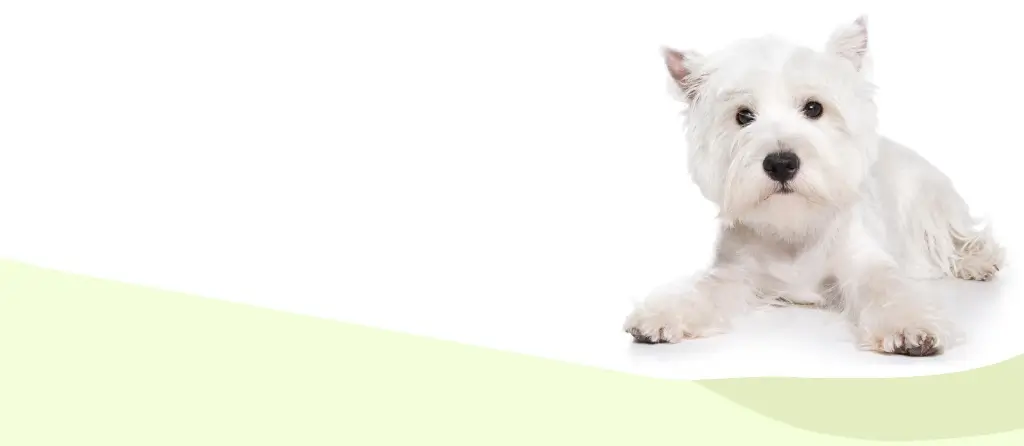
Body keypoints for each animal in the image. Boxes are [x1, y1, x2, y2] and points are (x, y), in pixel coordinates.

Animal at [618, 16, 1003, 355]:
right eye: (743, 116)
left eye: (814, 108)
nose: (781, 163)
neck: (795, 228)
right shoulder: (735, 272)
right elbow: (703, 288)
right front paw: (660, 315)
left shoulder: (863, 262)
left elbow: (887, 286)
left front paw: (910, 327)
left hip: (932, 201)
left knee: (961, 237)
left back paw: (977, 263)